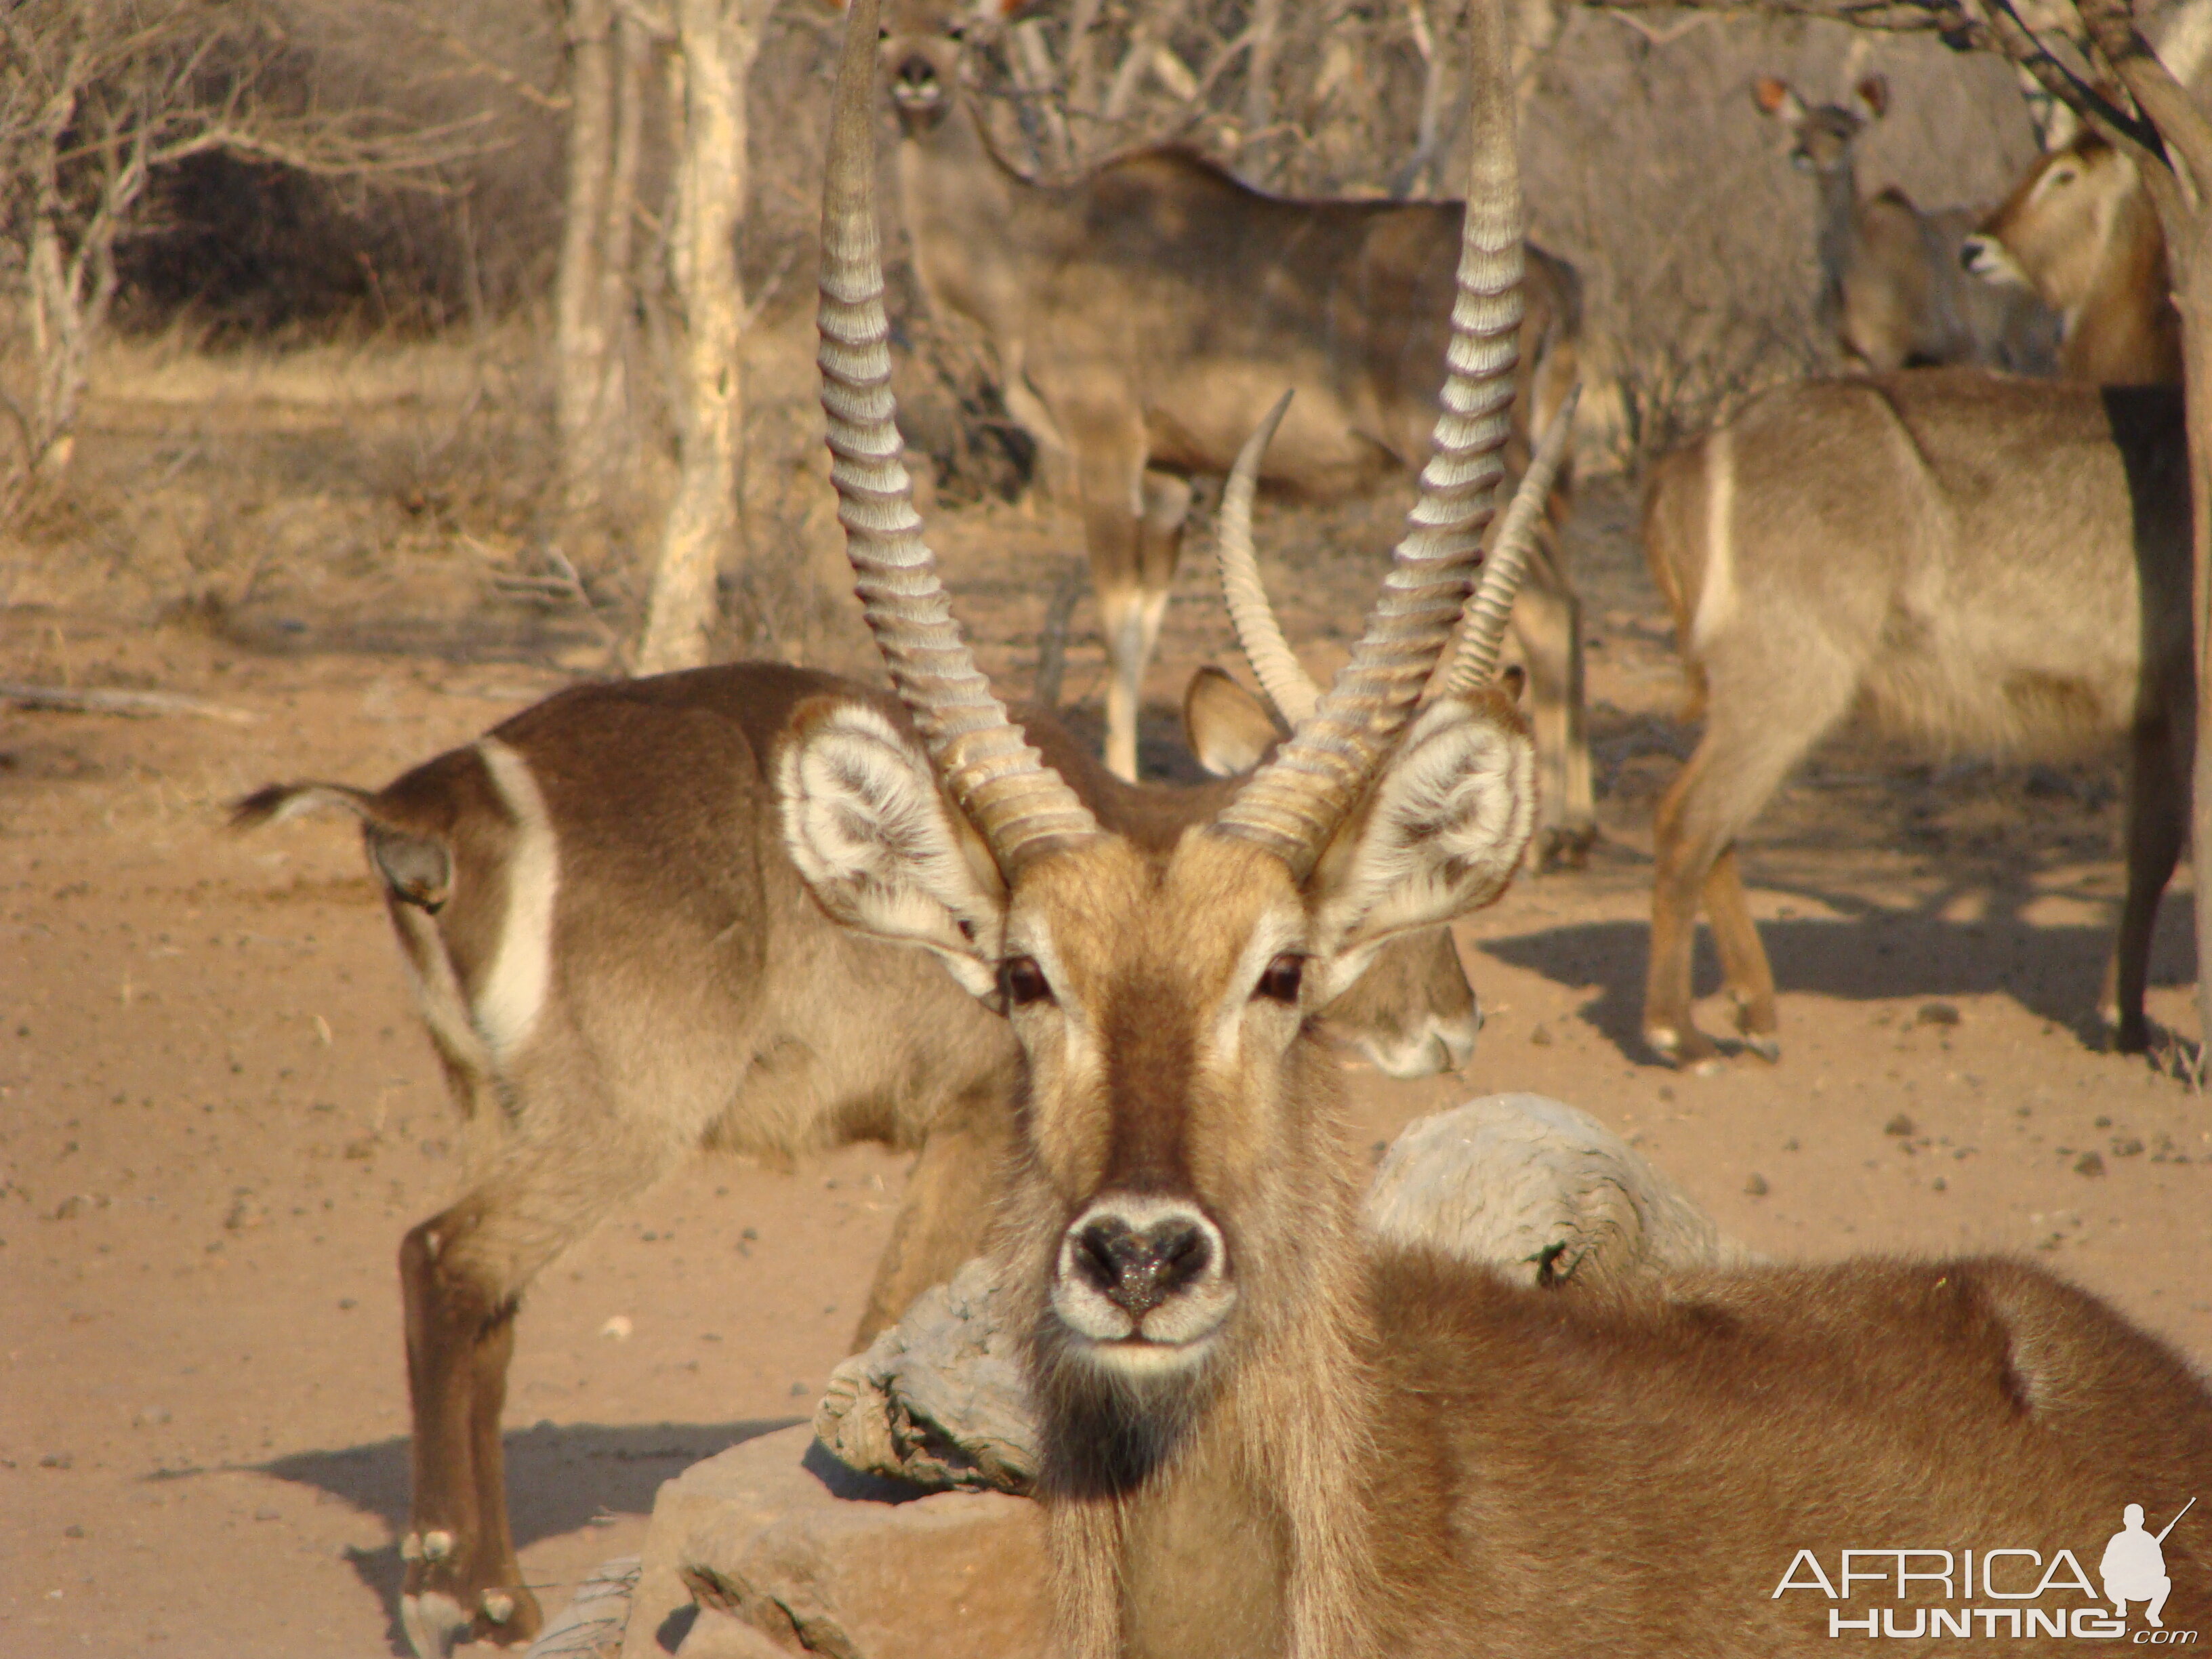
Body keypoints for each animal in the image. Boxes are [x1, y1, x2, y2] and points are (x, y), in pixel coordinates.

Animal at [880, 3, 1593, 884]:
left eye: (958, 33)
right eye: (884, 32)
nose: (915, 80)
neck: (1034, 250)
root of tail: (1558, 279)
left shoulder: (1107, 443)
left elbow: (1114, 616)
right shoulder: (1171, 473)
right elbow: (1144, 619)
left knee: (1549, 605)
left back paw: (1556, 832)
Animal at [1637, 367, 2185, 1066]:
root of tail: (1698, 450)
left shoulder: (2157, 716)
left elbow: (2151, 857)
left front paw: (2128, 1025)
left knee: (1715, 827)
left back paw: (1755, 1011)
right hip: (1791, 680)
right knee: (1688, 820)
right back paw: (1679, 1034)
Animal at [1752, 74, 2062, 375]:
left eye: (1840, 131)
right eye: (1799, 130)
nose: (1801, 155)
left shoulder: (1901, 349)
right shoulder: (1850, 354)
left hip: (2027, 347)